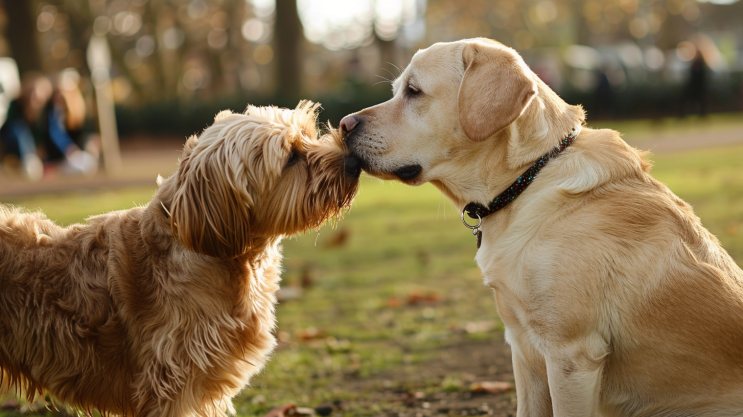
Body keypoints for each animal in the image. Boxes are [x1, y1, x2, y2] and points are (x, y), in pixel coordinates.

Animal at [340, 38, 743, 412]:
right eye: (397, 89)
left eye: (414, 91)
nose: (344, 125)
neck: (529, 177)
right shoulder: (522, 347)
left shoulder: (571, 355)